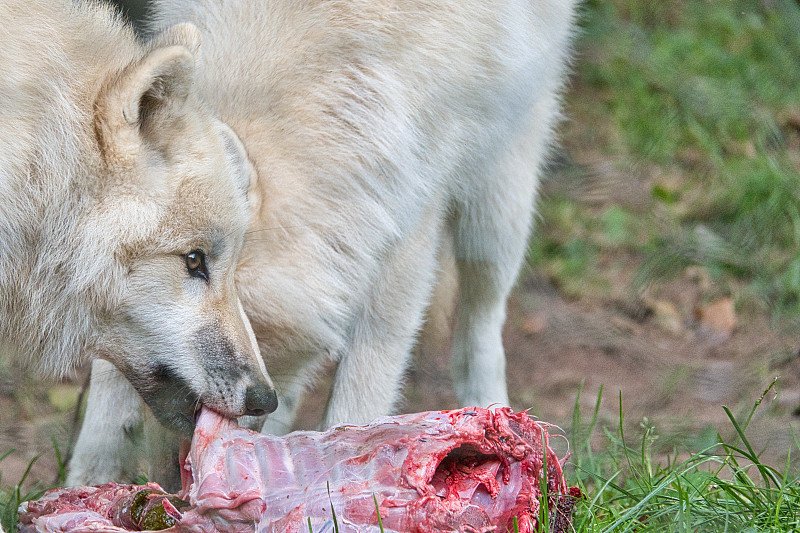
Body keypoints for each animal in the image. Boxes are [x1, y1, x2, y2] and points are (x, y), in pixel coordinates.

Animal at [69, 0, 580, 486]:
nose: (177, 479)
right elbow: (109, 389)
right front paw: (88, 483)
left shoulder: (407, 238)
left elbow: (360, 397)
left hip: (494, 213)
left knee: (482, 320)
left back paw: (500, 418)